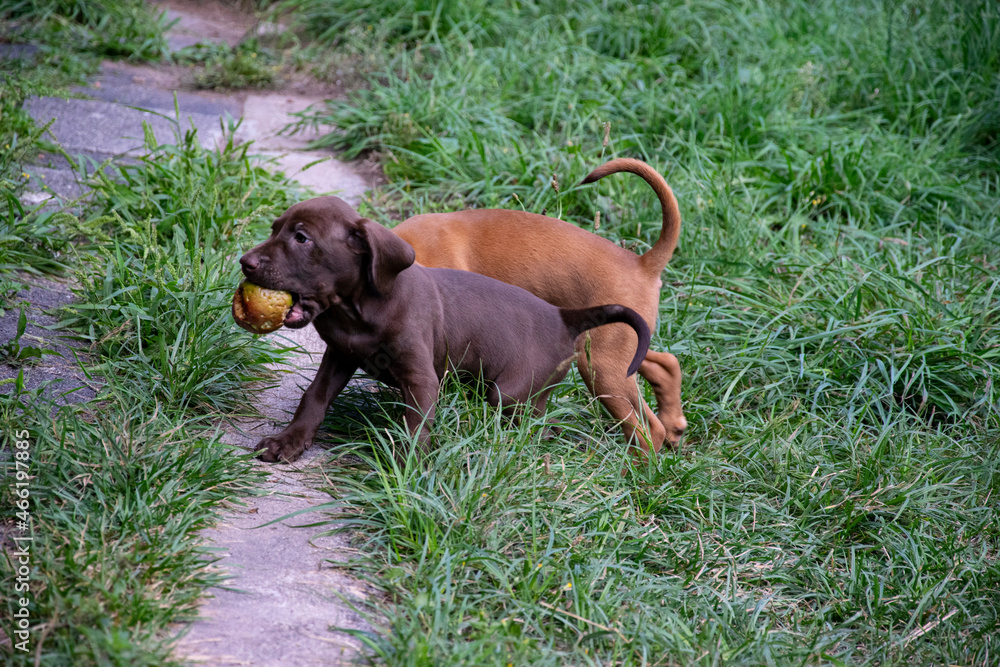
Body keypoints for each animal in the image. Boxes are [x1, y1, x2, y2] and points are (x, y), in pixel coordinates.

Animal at [392, 159, 688, 456]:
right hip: (617, 347)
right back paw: (674, 425)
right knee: (665, 363)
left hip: (601, 365)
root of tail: (642, 264)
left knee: (646, 429)